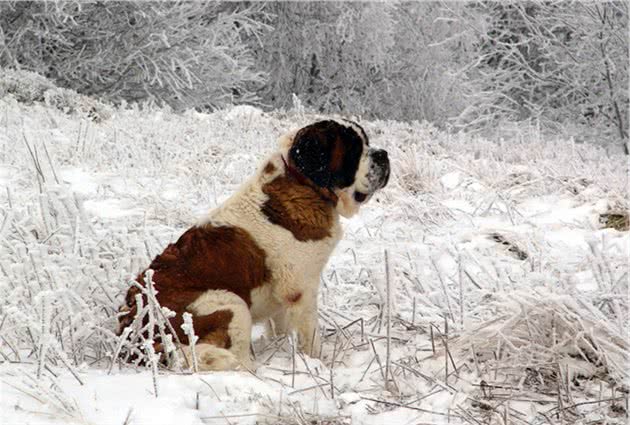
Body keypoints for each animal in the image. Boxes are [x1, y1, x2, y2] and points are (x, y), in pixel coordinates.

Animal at [118, 117, 390, 370]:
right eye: (354, 150)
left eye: (366, 141)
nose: (383, 154)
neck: (304, 184)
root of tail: (135, 336)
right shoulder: (301, 289)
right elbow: (310, 335)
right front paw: (318, 365)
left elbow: (280, 326)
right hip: (230, 304)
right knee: (236, 361)